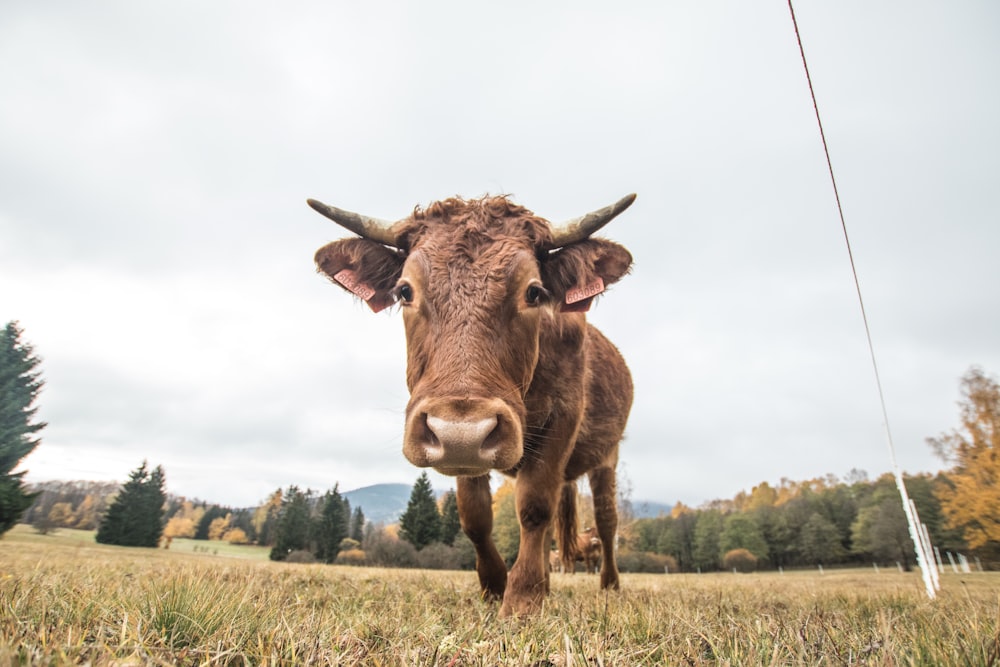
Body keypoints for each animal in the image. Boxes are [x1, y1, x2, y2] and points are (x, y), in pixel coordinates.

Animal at [308, 193, 632, 616]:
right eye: (405, 291)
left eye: (534, 292)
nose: (462, 433)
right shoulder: (462, 451)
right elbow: (475, 516)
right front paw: (495, 587)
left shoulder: (563, 418)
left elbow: (534, 507)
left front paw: (523, 599)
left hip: (607, 457)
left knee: (606, 522)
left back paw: (609, 585)